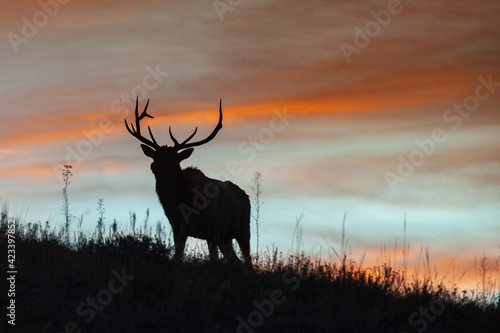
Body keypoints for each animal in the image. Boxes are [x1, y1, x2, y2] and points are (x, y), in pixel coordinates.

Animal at [123, 97, 252, 268]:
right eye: (155, 156)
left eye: (173, 159)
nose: (154, 166)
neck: (183, 203)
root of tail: (245, 195)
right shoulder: (178, 228)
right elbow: (177, 258)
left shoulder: (212, 229)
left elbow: (214, 261)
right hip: (226, 238)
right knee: (237, 262)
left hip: (243, 230)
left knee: (248, 262)